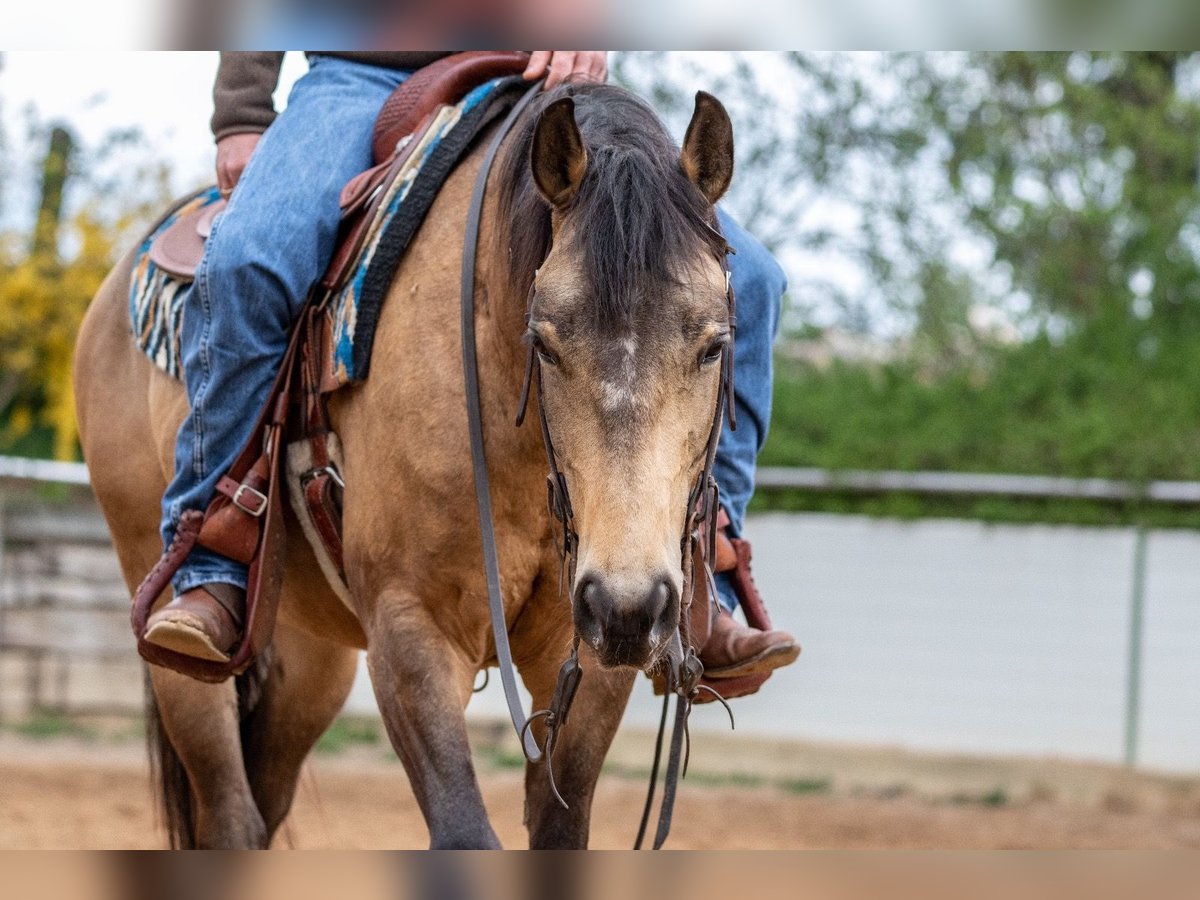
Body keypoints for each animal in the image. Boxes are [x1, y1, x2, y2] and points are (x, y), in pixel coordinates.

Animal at [73, 81, 736, 849]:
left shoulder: (594, 661)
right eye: (543, 342)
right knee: (229, 813)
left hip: (311, 655)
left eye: (714, 345)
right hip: (176, 635)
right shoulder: (410, 630)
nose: (626, 604)